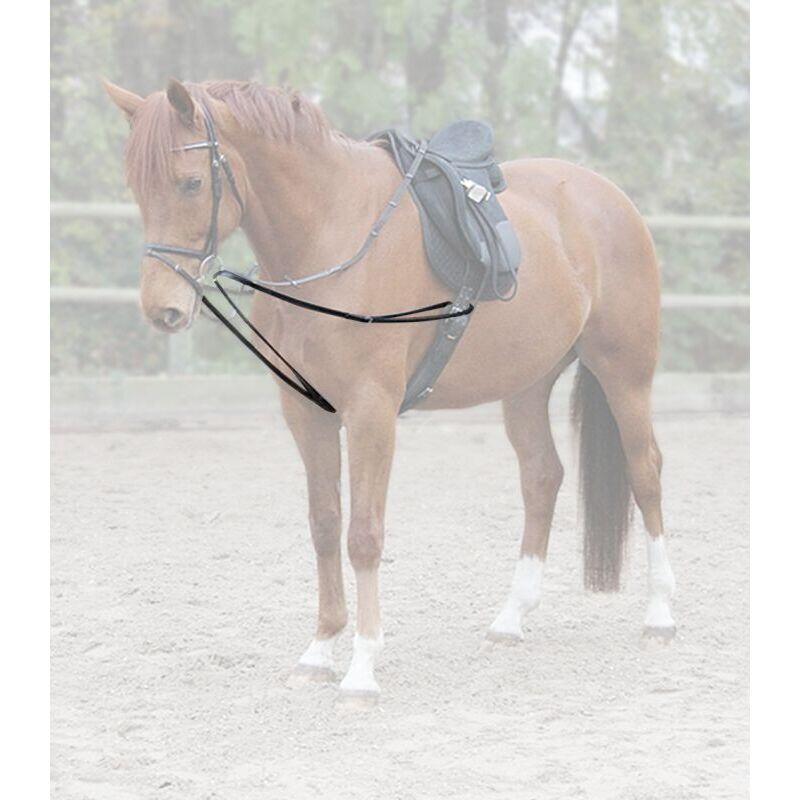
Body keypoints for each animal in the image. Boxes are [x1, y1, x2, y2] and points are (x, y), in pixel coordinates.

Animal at [105, 77, 676, 704]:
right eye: (137, 186)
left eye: (191, 183)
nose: (162, 309)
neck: (330, 240)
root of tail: (609, 198)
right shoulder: (306, 414)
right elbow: (324, 525)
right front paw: (318, 651)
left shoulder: (370, 411)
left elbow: (363, 535)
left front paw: (361, 671)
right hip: (527, 384)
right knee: (542, 478)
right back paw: (509, 620)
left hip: (624, 371)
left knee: (645, 471)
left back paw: (659, 616)